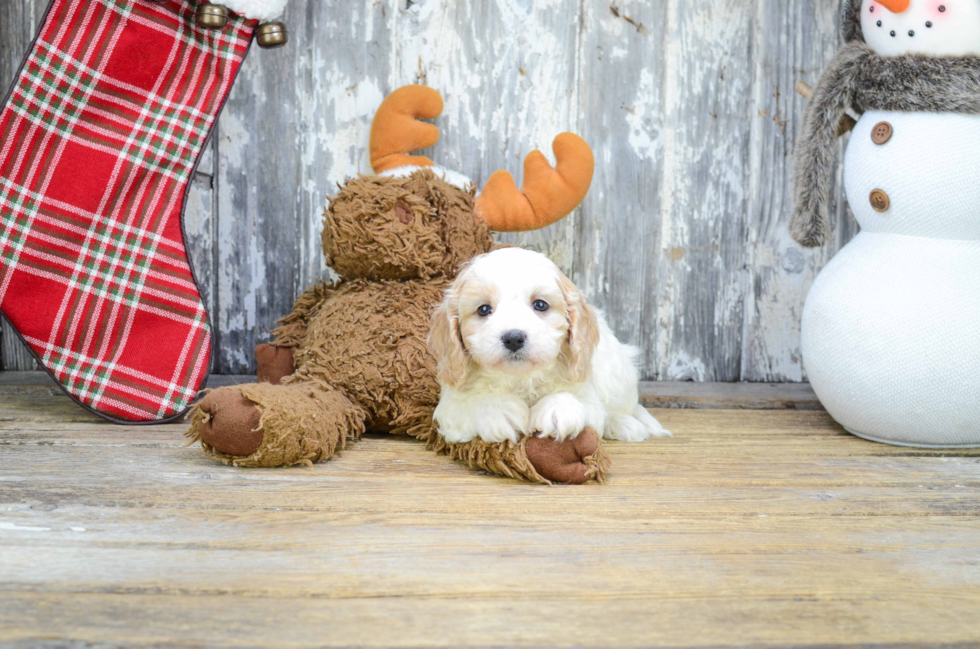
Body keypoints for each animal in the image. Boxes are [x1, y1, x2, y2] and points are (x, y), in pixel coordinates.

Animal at [424, 246, 668, 442]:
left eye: (540, 305)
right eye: (483, 309)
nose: (514, 337)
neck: (520, 378)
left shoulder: (588, 395)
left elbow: (578, 401)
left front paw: (556, 410)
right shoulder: (449, 407)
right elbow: (474, 403)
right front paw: (498, 410)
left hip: (620, 373)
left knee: (626, 408)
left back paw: (627, 425)